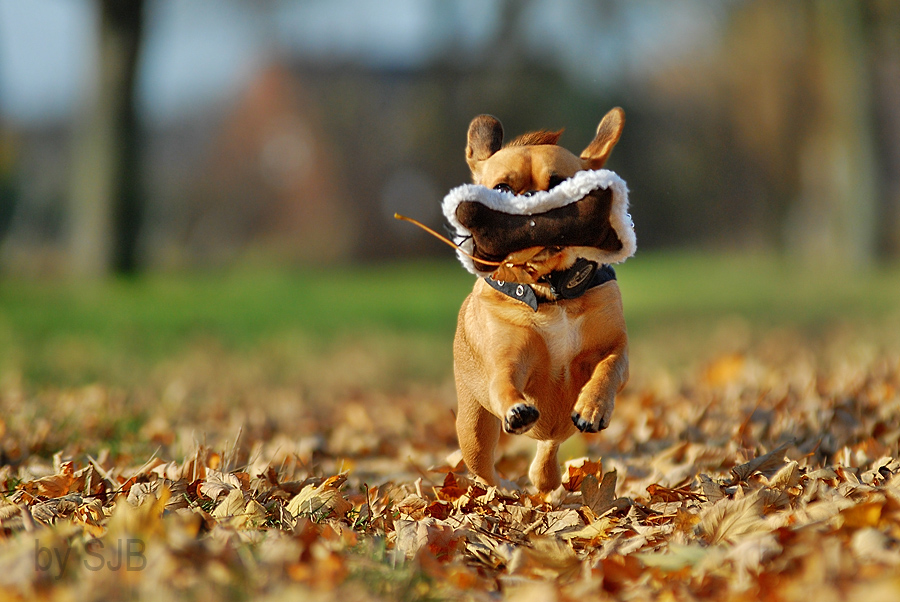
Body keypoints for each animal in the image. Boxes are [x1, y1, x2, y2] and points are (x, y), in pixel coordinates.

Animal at [454, 109, 628, 492]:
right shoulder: (509, 360)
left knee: (547, 452)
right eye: (501, 189)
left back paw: (544, 479)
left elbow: (608, 368)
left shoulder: (613, 346)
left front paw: (593, 406)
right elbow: (504, 382)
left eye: (561, 185)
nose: (533, 200)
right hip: (474, 432)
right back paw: (503, 490)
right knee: (485, 470)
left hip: (552, 434)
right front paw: (516, 409)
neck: (551, 291)